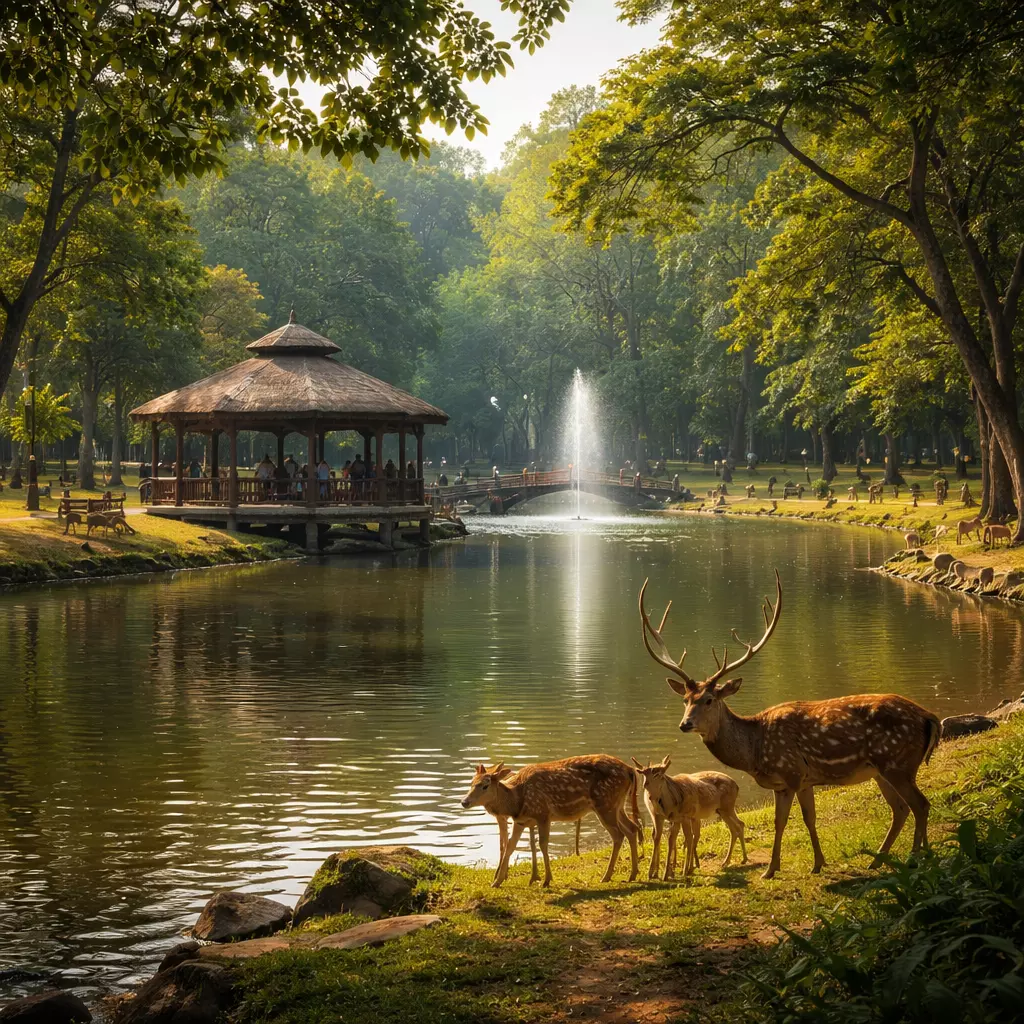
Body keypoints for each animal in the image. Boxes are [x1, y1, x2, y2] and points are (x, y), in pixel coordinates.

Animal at [461, 756, 642, 888]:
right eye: (471, 782)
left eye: (485, 785)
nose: (464, 802)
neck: (517, 801)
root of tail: (630, 769)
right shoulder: (521, 821)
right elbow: (510, 846)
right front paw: (496, 882)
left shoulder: (543, 813)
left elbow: (543, 844)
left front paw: (547, 879)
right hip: (617, 805)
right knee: (631, 828)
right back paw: (632, 874)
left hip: (605, 803)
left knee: (618, 835)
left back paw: (607, 876)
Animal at [639, 573, 941, 879]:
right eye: (686, 699)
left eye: (709, 699)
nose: (685, 724)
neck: (754, 750)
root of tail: (930, 717)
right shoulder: (796, 781)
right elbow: (799, 819)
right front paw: (806, 865)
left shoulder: (791, 773)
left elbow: (790, 820)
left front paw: (782, 868)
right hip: (882, 770)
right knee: (901, 809)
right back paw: (880, 860)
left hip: (897, 762)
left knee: (920, 805)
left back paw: (916, 857)